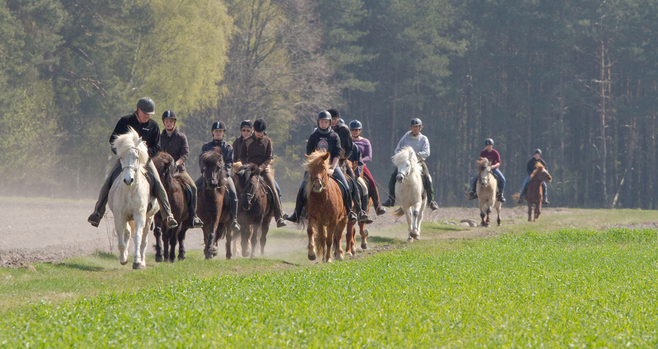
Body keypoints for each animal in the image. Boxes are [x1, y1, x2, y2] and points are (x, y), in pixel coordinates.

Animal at [107, 128, 160, 270]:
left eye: (136, 157)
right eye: (121, 157)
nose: (128, 180)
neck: (130, 191)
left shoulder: (140, 215)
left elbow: (138, 238)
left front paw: (137, 262)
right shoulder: (119, 216)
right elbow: (121, 238)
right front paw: (123, 258)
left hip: (149, 219)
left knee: (144, 240)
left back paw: (142, 260)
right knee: (126, 233)